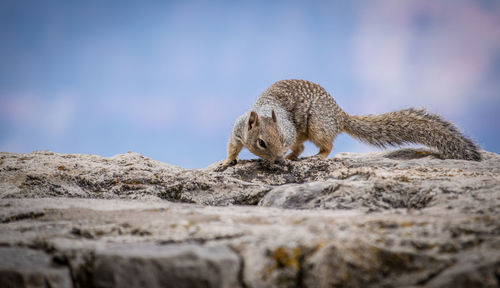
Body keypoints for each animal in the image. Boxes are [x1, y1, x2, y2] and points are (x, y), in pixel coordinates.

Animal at [218, 79, 480, 169]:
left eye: (281, 139)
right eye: (261, 142)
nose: (278, 160)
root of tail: (339, 115)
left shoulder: (290, 132)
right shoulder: (238, 131)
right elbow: (232, 148)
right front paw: (226, 162)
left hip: (318, 126)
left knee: (325, 146)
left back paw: (316, 156)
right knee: (301, 147)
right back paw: (294, 157)